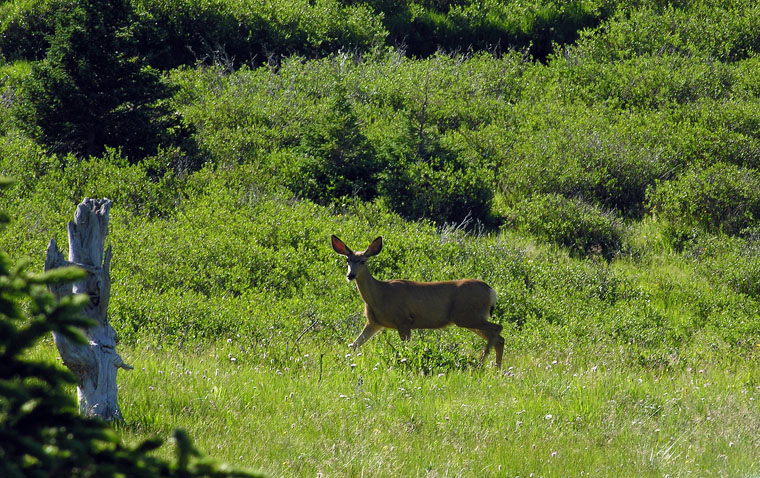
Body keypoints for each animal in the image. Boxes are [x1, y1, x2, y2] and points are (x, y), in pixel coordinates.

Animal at [330, 234, 502, 366]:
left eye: (363, 261)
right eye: (347, 261)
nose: (350, 275)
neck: (379, 295)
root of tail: (491, 290)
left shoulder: (404, 320)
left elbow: (405, 349)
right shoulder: (374, 323)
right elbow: (354, 345)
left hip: (467, 316)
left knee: (498, 329)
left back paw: (481, 362)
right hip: (470, 318)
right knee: (499, 337)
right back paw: (496, 368)